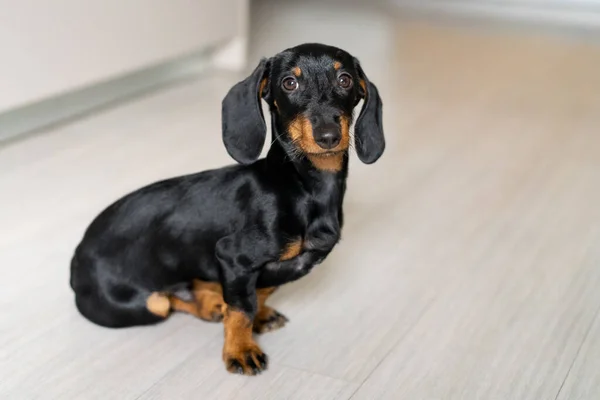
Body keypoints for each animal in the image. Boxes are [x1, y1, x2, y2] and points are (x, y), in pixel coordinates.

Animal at [70, 43, 386, 376]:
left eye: (345, 79)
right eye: (289, 83)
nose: (328, 136)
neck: (303, 187)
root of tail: (77, 256)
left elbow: (259, 291)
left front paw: (256, 315)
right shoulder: (233, 257)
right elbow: (241, 308)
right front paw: (240, 349)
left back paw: (212, 302)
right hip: (141, 304)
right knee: (166, 301)